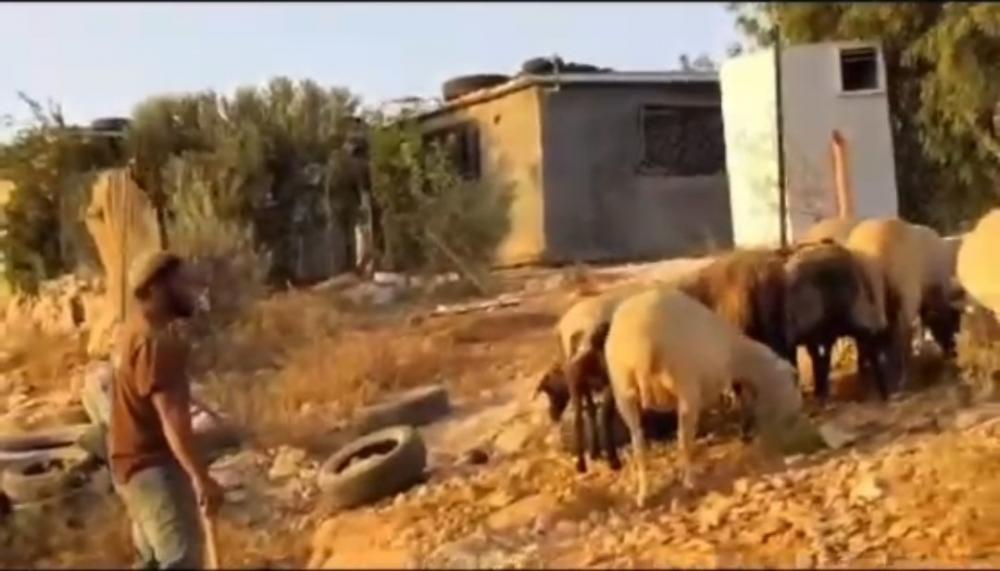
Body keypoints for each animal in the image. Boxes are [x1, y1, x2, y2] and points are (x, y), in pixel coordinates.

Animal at [605, 287, 803, 507]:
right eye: (793, 383)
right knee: (684, 441)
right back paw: (690, 482)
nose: (797, 413)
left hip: (623, 392)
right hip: (685, 386)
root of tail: (641, 347)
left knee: (638, 445)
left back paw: (643, 494)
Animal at [845, 217, 966, 391]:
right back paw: (902, 377)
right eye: (954, 323)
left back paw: (866, 372)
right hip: (903, 293)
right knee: (898, 333)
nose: (953, 353)